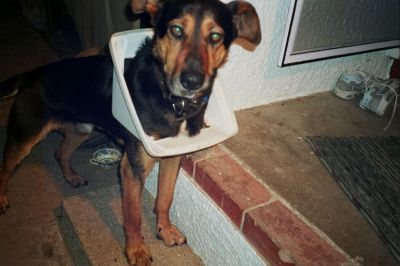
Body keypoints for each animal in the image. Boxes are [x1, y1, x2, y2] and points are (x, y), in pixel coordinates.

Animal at [0, 0, 260, 264]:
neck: (169, 98)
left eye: (215, 36)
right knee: (5, 166)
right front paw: (136, 251)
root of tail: (30, 74)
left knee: (60, 152)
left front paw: (165, 231)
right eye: (176, 30)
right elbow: (133, 217)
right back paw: (2, 199)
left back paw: (71, 177)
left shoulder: (171, 157)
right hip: (24, 136)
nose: (191, 82)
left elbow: (165, 198)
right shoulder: (132, 168)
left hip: (80, 130)